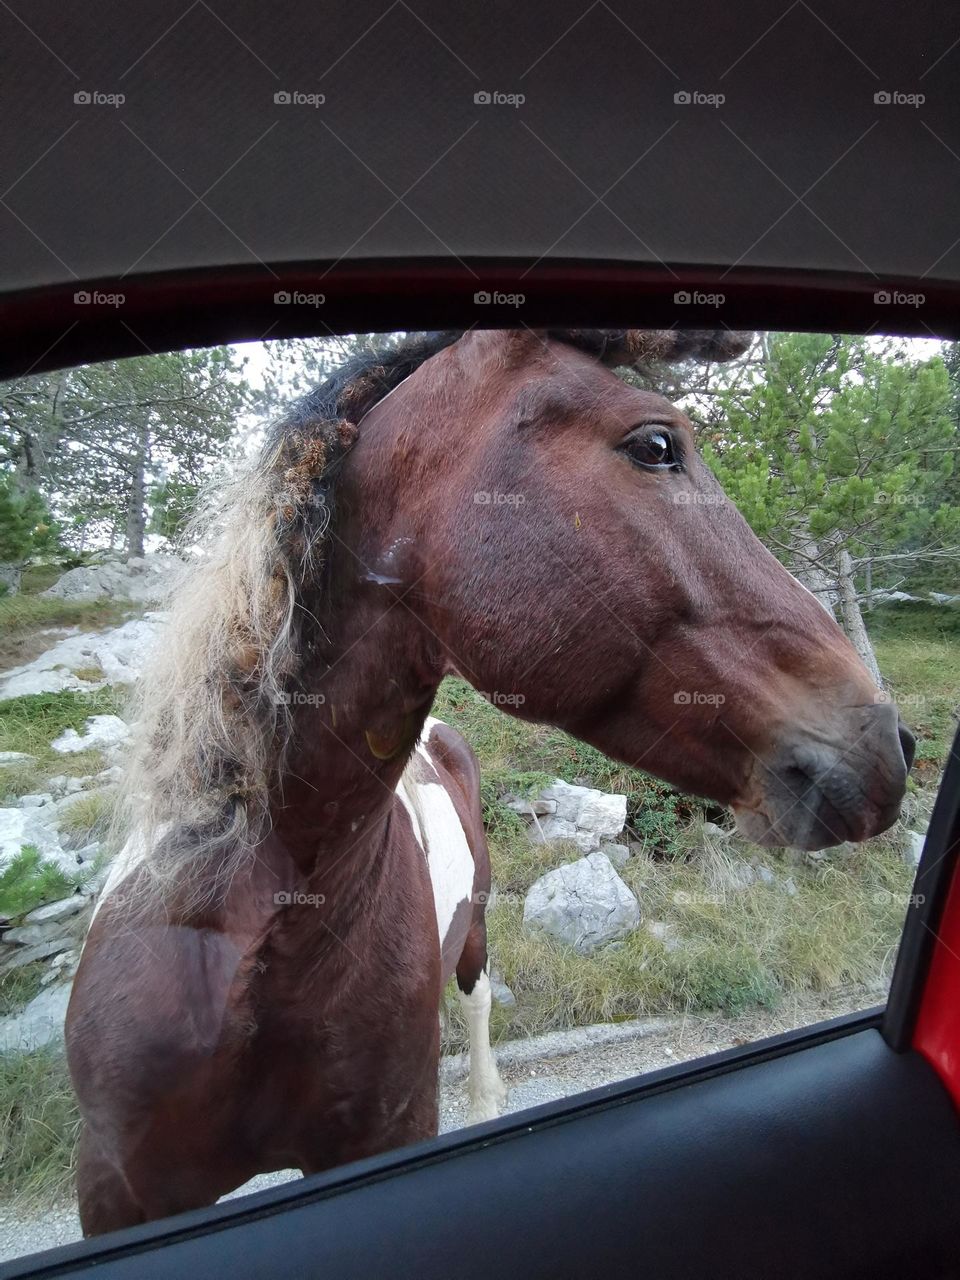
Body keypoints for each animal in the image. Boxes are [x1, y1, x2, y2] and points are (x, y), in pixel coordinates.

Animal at [67, 325, 916, 1233]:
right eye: (657, 446)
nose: (891, 742)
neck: (242, 937)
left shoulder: (388, 1132)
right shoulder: (114, 1188)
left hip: (473, 932)